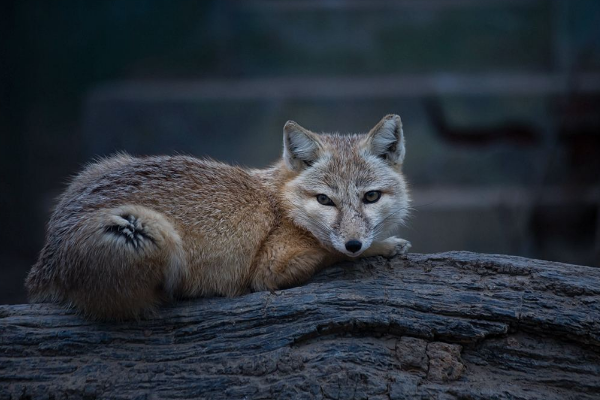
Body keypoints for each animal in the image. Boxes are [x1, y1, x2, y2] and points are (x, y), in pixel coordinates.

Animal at [25, 114, 410, 320]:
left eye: (371, 197)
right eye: (325, 200)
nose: (354, 242)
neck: (281, 201)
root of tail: (42, 263)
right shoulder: (271, 267)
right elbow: (330, 252)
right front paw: (385, 246)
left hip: (107, 164)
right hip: (148, 230)